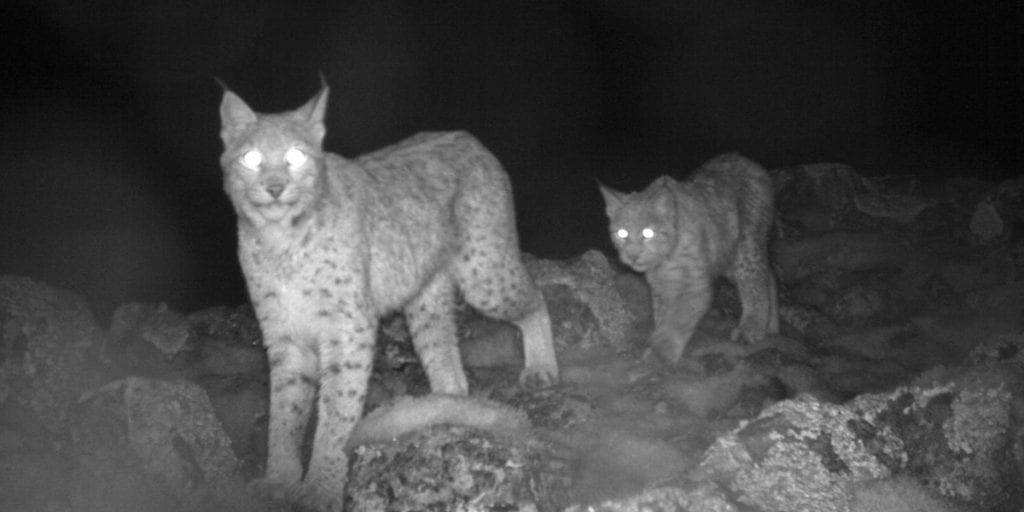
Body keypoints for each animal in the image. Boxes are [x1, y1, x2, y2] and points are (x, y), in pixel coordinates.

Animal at [217, 83, 565, 507]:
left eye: (295, 156)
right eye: (251, 158)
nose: (274, 188)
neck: (279, 238)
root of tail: (467, 137)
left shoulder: (348, 329)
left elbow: (337, 411)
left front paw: (320, 487)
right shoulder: (282, 332)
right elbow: (285, 412)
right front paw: (279, 480)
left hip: (484, 275)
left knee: (536, 298)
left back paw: (541, 369)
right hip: (424, 297)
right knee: (447, 362)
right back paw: (445, 409)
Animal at [598, 152, 774, 364]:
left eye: (648, 233)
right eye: (622, 233)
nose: (633, 256)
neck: (665, 259)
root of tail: (739, 157)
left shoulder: (694, 283)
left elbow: (678, 319)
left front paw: (660, 353)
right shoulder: (661, 284)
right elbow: (664, 316)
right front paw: (659, 342)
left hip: (745, 245)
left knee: (755, 280)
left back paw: (751, 328)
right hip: (725, 254)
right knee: (769, 275)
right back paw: (772, 327)